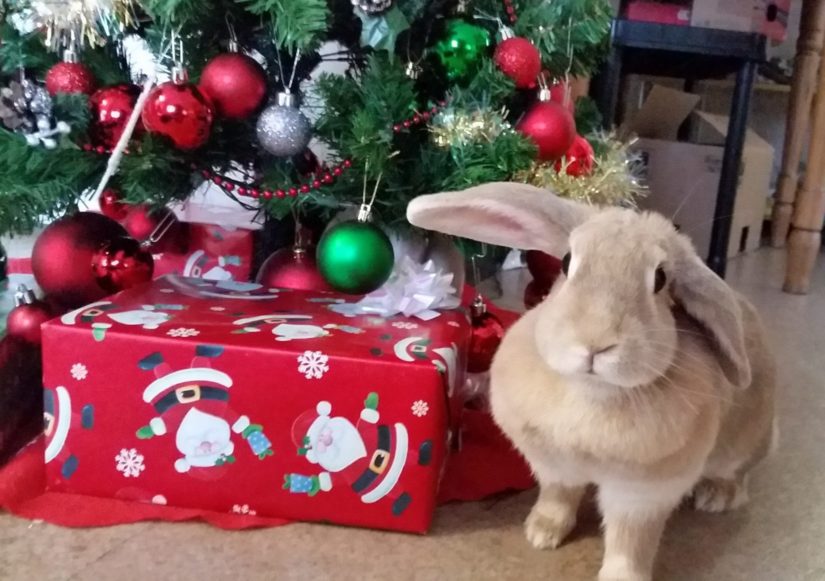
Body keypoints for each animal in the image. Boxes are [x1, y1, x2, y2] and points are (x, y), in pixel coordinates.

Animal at [408, 182, 776, 580]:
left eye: (661, 279)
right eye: (567, 262)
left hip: (744, 445)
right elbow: (558, 497)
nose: (596, 343)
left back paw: (717, 497)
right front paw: (541, 533)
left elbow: (630, 544)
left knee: (738, 473)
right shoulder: (555, 467)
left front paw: (621, 578)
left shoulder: (643, 494)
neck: (590, 392)